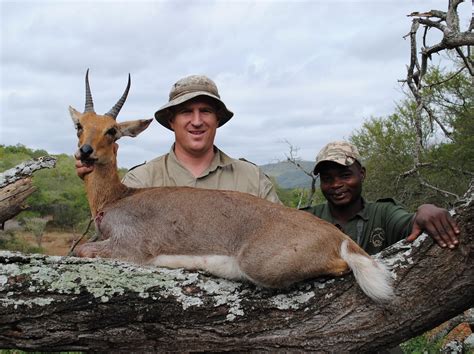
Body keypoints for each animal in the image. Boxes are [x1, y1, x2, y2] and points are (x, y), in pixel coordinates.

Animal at [68, 71, 394, 302]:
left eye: (112, 130)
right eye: (79, 125)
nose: (85, 152)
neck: (117, 199)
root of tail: (338, 236)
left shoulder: (131, 249)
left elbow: (80, 249)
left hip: (259, 265)